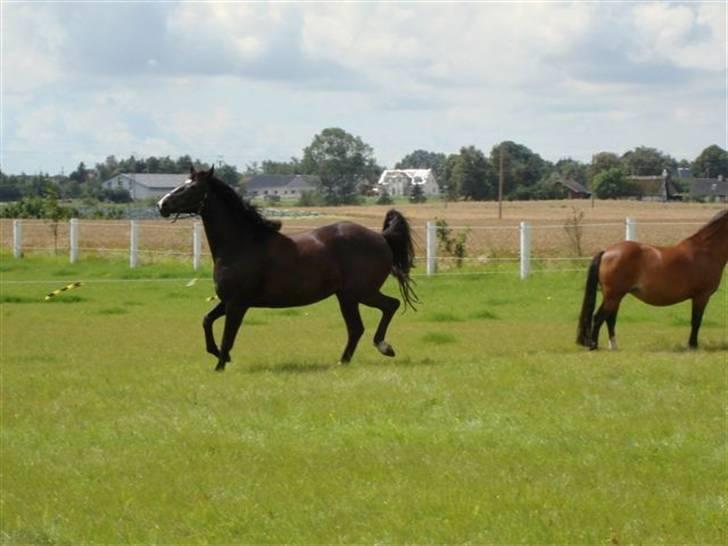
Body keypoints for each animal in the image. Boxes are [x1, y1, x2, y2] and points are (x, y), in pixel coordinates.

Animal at [159, 166, 420, 370]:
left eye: (191, 188)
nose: (162, 204)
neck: (243, 243)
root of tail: (381, 237)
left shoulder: (237, 304)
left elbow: (227, 338)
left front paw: (220, 365)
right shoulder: (229, 301)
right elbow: (206, 320)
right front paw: (219, 356)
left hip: (359, 293)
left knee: (390, 306)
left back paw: (383, 347)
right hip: (347, 297)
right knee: (357, 328)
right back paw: (343, 362)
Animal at [576, 208, 724, 348]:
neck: (705, 251)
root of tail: (606, 252)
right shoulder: (701, 296)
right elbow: (696, 321)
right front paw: (692, 345)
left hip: (615, 296)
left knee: (609, 318)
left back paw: (613, 345)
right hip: (613, 295)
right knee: (599, 317)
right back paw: (593, 345)